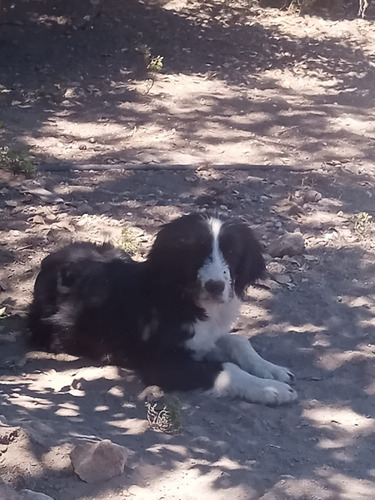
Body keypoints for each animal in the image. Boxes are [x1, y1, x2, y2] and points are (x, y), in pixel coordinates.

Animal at [27, 214, 298, 406]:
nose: (215, 286)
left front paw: (272, 370)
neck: (185, 298)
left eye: (232, 252)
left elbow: (239, 341)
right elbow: (227, 369)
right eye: (194, 252)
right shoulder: (161, 362)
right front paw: (269, 389)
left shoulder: (203, 339)